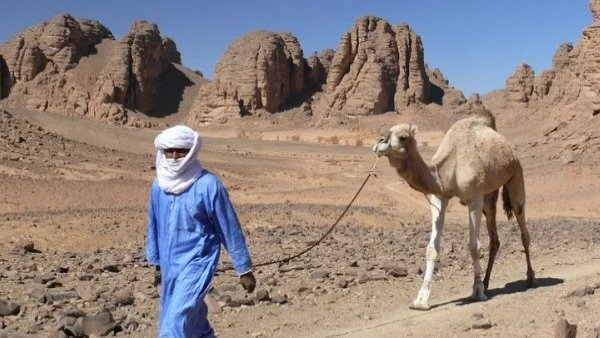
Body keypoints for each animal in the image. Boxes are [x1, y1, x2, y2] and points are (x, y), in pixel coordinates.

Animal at [372, 109, 536, 310]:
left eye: (402, 137)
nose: (379, 142)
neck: (448, 166)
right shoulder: (439, 198)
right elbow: (432, 249)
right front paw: (421, 300)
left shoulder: (474, 199)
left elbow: (474, 246)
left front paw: (477, 291)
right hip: (489, 194)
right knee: (494, 237)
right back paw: (487, 283)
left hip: (516, 175)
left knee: (522, 224)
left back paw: (530, 278)